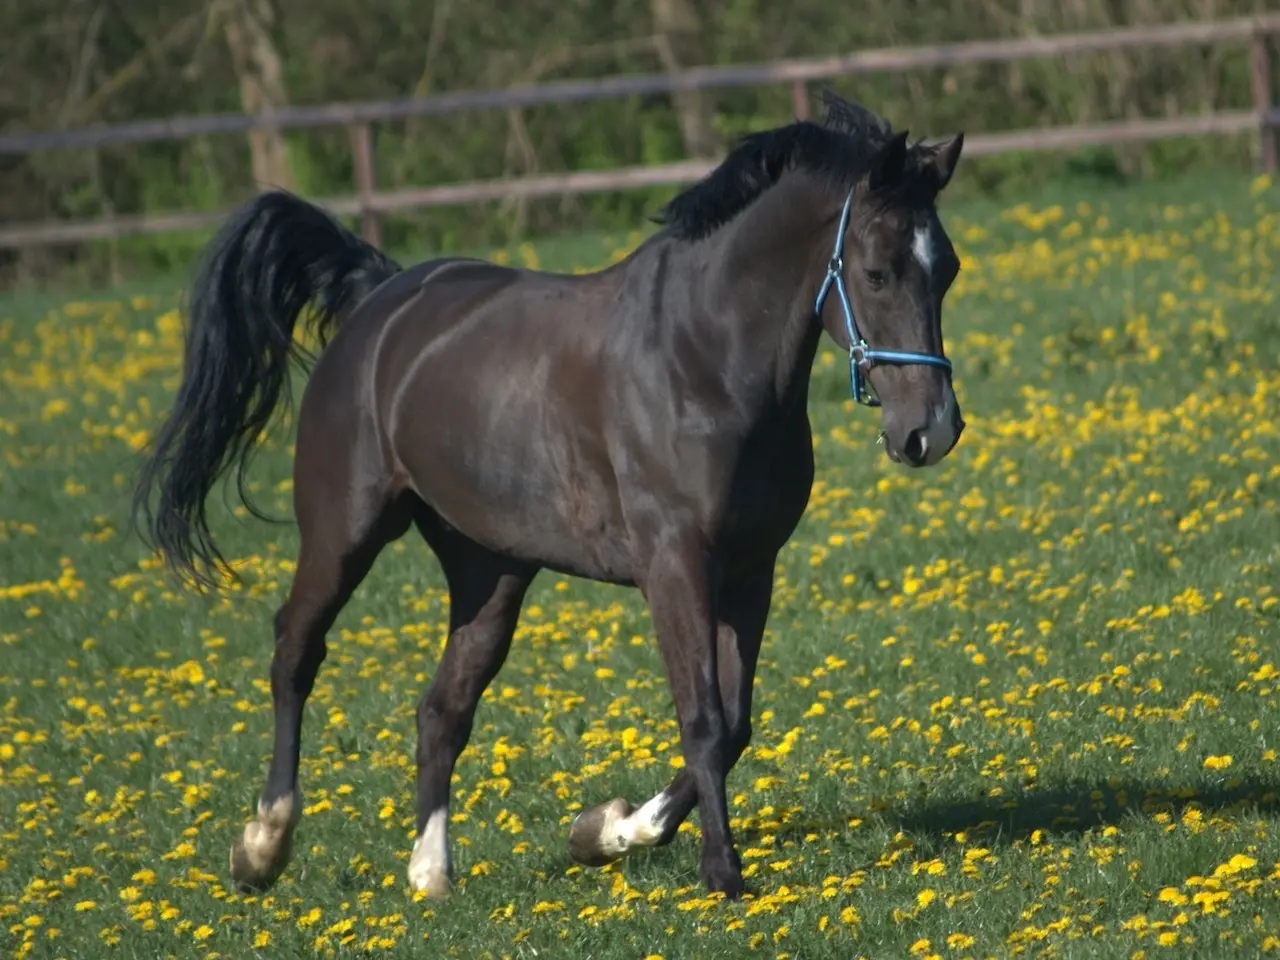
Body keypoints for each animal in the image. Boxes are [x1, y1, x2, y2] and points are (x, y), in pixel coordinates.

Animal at [132, 90, 967, 901]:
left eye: (949, 269)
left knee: (442, 708)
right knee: (295, 653)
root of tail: (381, 305)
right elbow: (702, 717)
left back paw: (430, 874)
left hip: (490, 569)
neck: (702, 360)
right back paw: (263, 847)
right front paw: (720, 873)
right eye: (878, 272)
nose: (930, 431)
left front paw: (605, 830)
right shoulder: (675, 566)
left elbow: (735, 725)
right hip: (343, 533)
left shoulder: (750, 570)